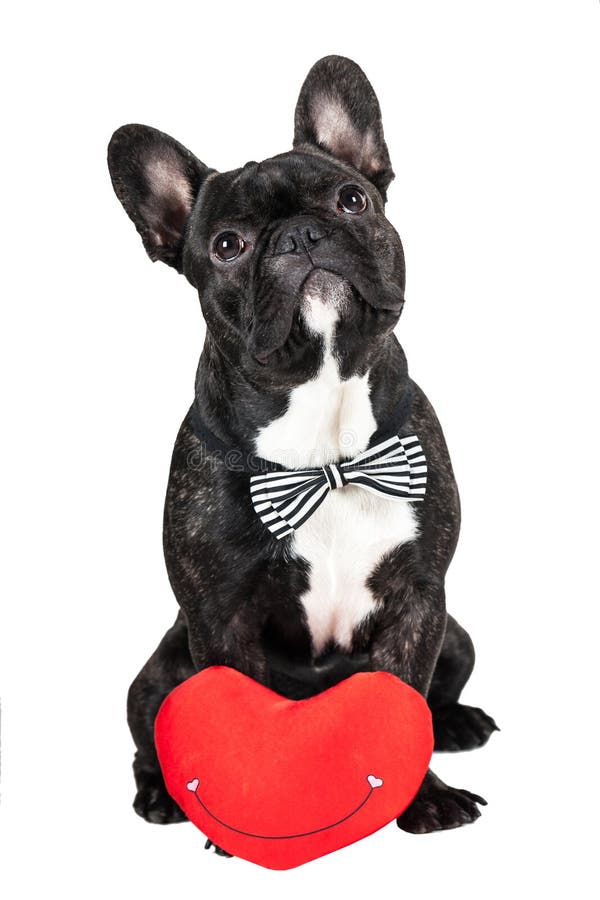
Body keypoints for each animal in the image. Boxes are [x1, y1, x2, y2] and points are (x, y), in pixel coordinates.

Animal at [106, 56, 496, 844]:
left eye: (351, 199)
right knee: (149, 736)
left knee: (440, 696)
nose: (300, 235)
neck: (326, 443)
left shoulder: (420, 601)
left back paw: (458, 723)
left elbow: (405, 702)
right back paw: (162, 794)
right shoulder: (220, 615)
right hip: (158, 674)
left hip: (459, 635)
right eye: (228, 244)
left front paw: (425, 798)